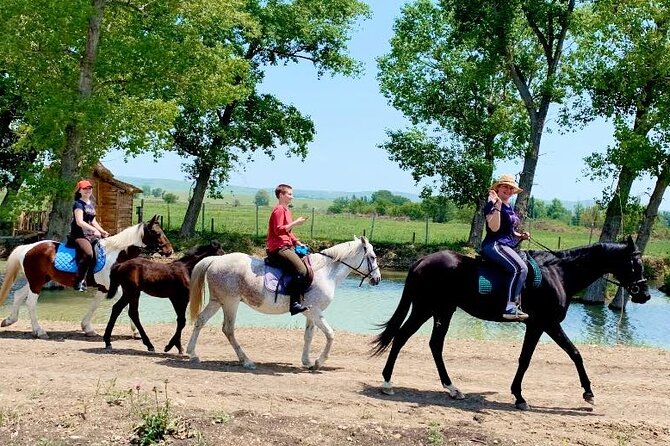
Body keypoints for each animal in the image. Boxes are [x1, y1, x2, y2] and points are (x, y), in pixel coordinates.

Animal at [0, 215, 173, 339]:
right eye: (157, 232)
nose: (170, 251)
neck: (116, 254)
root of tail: (28, 247)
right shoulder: (110, 287)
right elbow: (121, 305)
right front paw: (135, 331)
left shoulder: (108, 288)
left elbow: (98, 305)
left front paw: (88, 328)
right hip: (37, 282)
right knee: (30, 302)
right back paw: (39, 331)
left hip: (39, 280)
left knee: (18, 295)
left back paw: (9, 320)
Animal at [186, 236, 382, 370]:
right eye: (372, 257)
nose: (377, 279)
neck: (325, 272)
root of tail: (215, 259)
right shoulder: (315, 311)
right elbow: (330, 334)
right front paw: (318, 362)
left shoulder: (311, 313)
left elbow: (309, 336)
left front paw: (307, 361)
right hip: (230, 302)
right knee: (228, 329)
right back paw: (246, 361)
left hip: (217, 301)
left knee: (200, 321)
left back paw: (192, 354)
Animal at [371, 236, 651, 410]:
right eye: (635, 263)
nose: (645, 295)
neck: (559, 273)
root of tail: (421, 261)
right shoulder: (544, 324)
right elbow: (559, 355)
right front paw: (522, 396)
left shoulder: (540, 325)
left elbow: (561, 355)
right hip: (426, 308)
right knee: (402, 337)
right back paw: (387, 383)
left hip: (442, 310)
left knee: (433, 344)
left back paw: (452, 388)